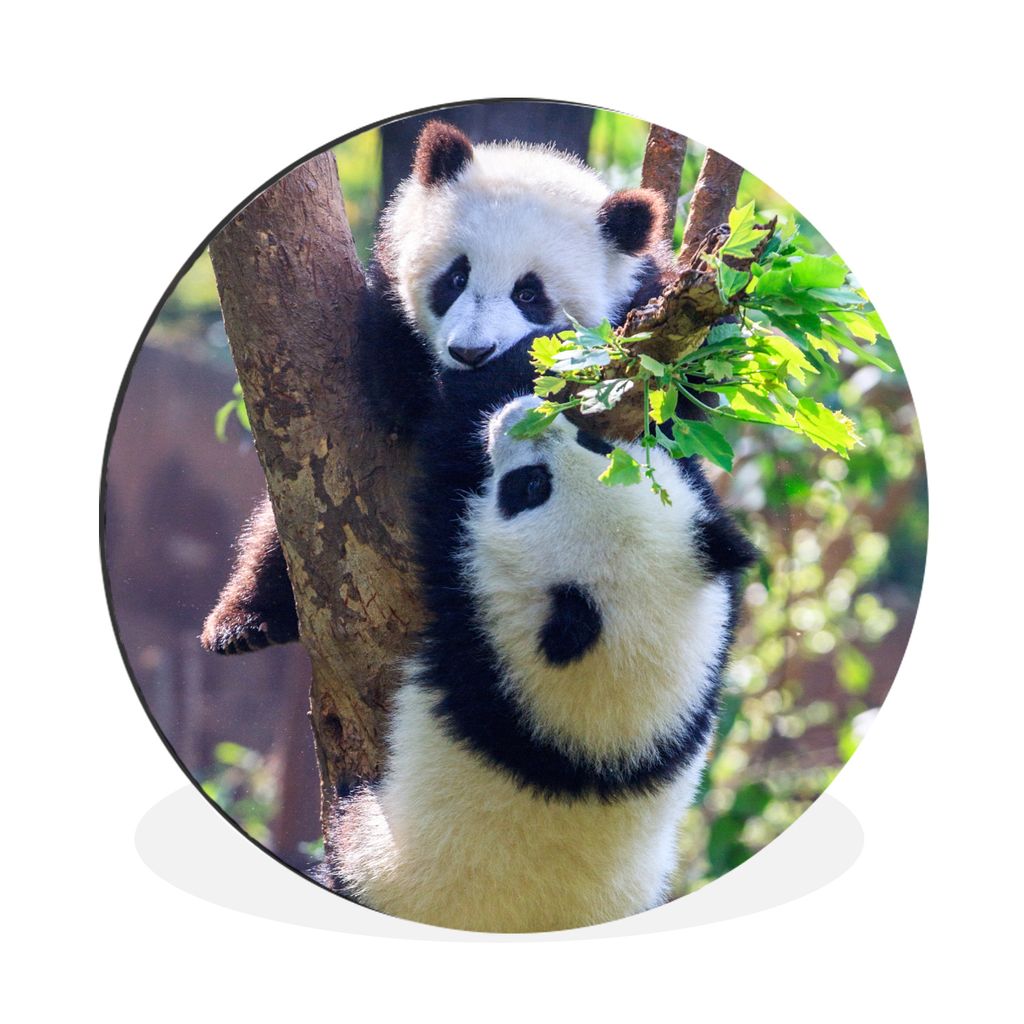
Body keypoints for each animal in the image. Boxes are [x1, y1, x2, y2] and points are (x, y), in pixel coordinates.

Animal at [202, 119, 674, 655]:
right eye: (455, 277)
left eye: (529, 294)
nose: (471, 352)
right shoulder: (388, 315)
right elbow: (404, 398)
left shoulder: (646, 319)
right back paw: (244, 621)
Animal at [319, 344, 758, 933]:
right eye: (598, 444)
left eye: (529, 488)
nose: (520, 414)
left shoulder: (479, 635)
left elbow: (441, 482)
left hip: (383, 870)